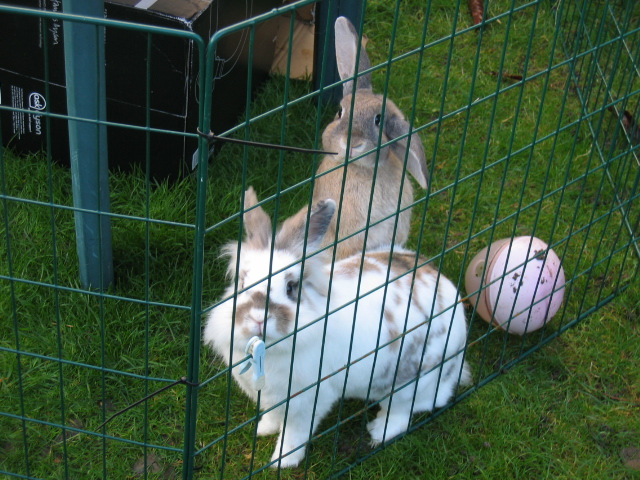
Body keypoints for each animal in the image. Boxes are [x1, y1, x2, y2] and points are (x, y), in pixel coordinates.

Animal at [203, 187, 471, 469]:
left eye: (290, 288)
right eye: (242, 282)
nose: (257, 318)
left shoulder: (307, 401)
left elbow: (294, 435)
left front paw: (282, 462)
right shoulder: (272, 397)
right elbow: (274, 416)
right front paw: (264, 429)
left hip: (410, 383)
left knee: (403, 411)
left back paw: (379, 431)